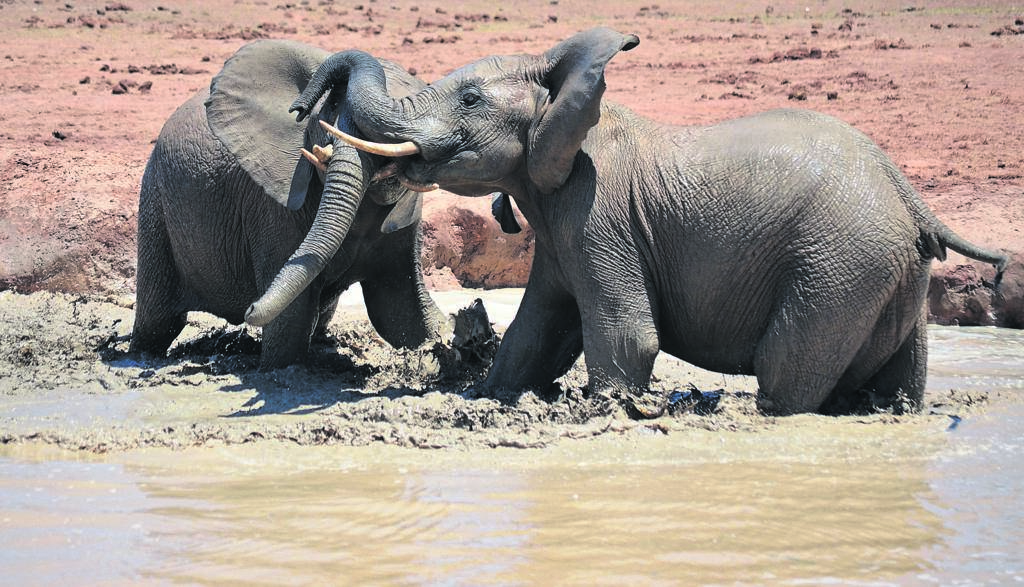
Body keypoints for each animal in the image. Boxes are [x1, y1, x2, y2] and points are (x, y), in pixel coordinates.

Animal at [131, 40, 450, 368]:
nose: (250, 309)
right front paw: (284, 370)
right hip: (155, 199)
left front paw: (442, 344)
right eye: (330, 111)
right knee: (158, 322)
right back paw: (139, 356)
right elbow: (291, 322)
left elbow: (400, 308)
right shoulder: (273, 208)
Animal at [290, 28, 1009, 416]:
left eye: (468, 100)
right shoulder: (561, 227)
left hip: (839, 265)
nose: (304, 109)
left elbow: (626, 337)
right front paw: (490, 396)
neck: (568, 93)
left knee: (784, 373)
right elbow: (536, 333)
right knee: (902, 378)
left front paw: (604, 410)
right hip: (891, 272)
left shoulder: (597, 213)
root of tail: (912, 197)